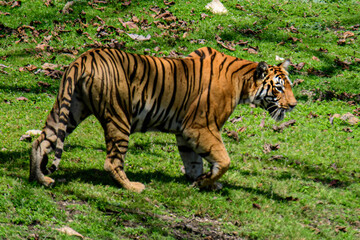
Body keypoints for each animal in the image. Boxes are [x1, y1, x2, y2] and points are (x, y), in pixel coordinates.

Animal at [29, 46, 296, 193]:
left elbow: (194, 162)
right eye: (279, 88)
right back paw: (133, 187)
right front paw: (207, 182)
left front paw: (201, 182)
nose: (293, 105)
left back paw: (40, 178)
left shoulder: (186, 134)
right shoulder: (201, 127)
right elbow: (223, 160)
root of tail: (84, 57)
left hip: (70, 109)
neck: (243, 84)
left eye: (289, 86)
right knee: (112, 161)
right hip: (118, 118)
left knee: (41, 141)